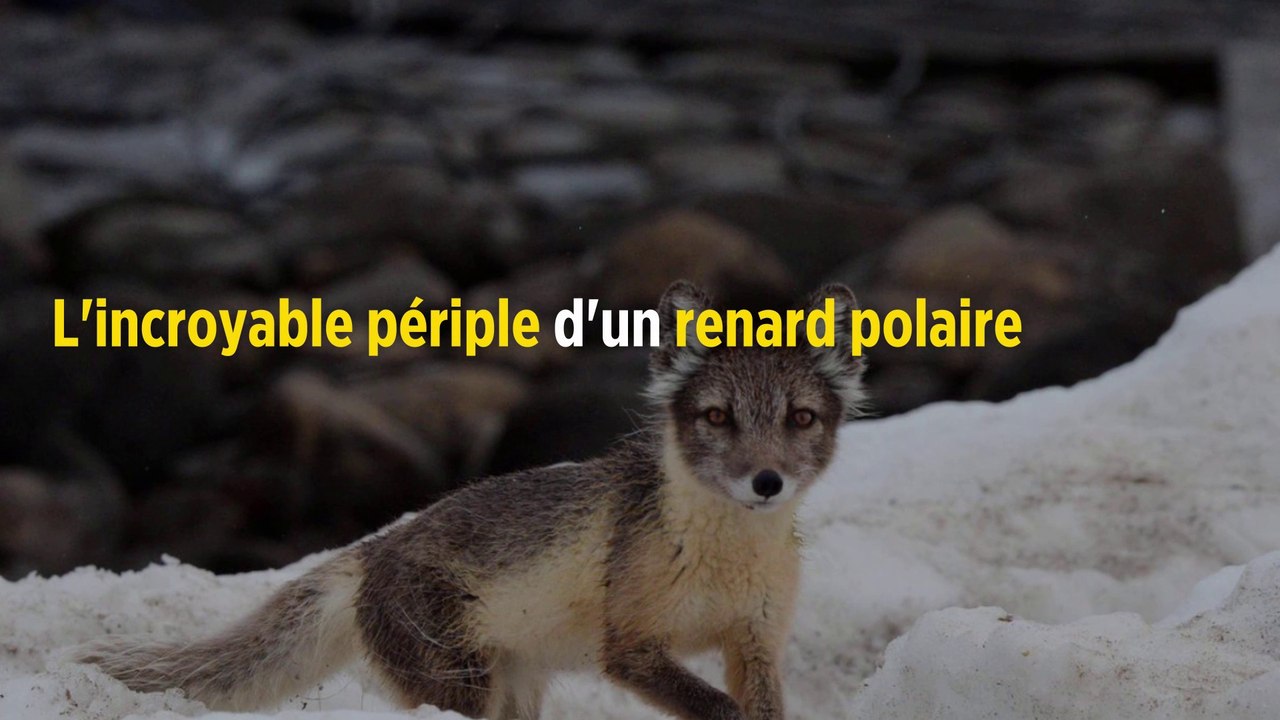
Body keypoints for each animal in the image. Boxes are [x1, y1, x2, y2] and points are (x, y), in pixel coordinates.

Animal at [73, 280, 868, 720]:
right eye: (717, 418)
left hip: (514, 688)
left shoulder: (754, 641)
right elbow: (716, 707)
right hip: (462, 684)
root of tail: (370, 551)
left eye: (800, 418)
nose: (765, 482)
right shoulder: (630, 647)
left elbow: (755, 703)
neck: (723, 560)